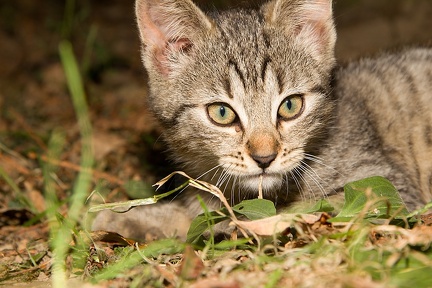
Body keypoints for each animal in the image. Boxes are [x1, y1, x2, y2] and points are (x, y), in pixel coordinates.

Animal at [93, 0, 432, 238]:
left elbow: (292, 211)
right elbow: (196, 214)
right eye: (221, 113)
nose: (265, 157)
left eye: (291, 106)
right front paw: (126, 218)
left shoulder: (384, 187)